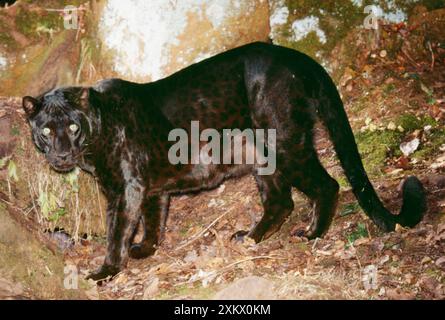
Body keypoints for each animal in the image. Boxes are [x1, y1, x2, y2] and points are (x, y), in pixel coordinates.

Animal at [22, 42, 424, 280]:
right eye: (46, 129)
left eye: (72, 126)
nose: (60, 152)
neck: (98, 133)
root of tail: (298, 56)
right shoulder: (152, 190)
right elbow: (153, 222)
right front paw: (147, 250)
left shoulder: (127, 189)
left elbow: (117, 231)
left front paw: (105, 271)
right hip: (264, 160)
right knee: (281, 201)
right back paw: (250, 238)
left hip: (285, 144)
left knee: (326, 184)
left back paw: (311, 234)